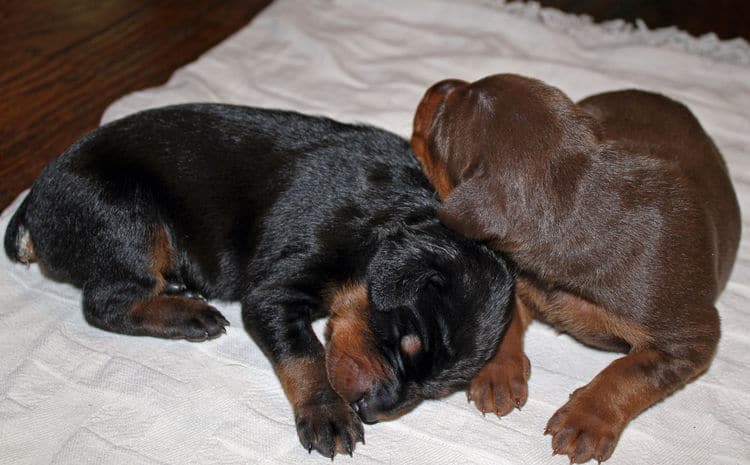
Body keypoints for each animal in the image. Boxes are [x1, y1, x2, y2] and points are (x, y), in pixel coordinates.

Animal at [2, 104, 516, 456]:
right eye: (403, 339)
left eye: (436, 390)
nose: (372, 409)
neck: (382, 221)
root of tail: (30, 207)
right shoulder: (273, 293)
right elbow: (305, 354)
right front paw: (326, 412)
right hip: (124, 214)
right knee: (104, 303)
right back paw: (190, 315)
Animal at [414, 74, 744, 462]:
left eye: (440, 122)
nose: (440, 84)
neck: (574, 197)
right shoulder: (521, 280)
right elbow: (506, 318)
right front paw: (496, 375)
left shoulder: (687, 338)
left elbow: (629, 372)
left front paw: (587, 420)